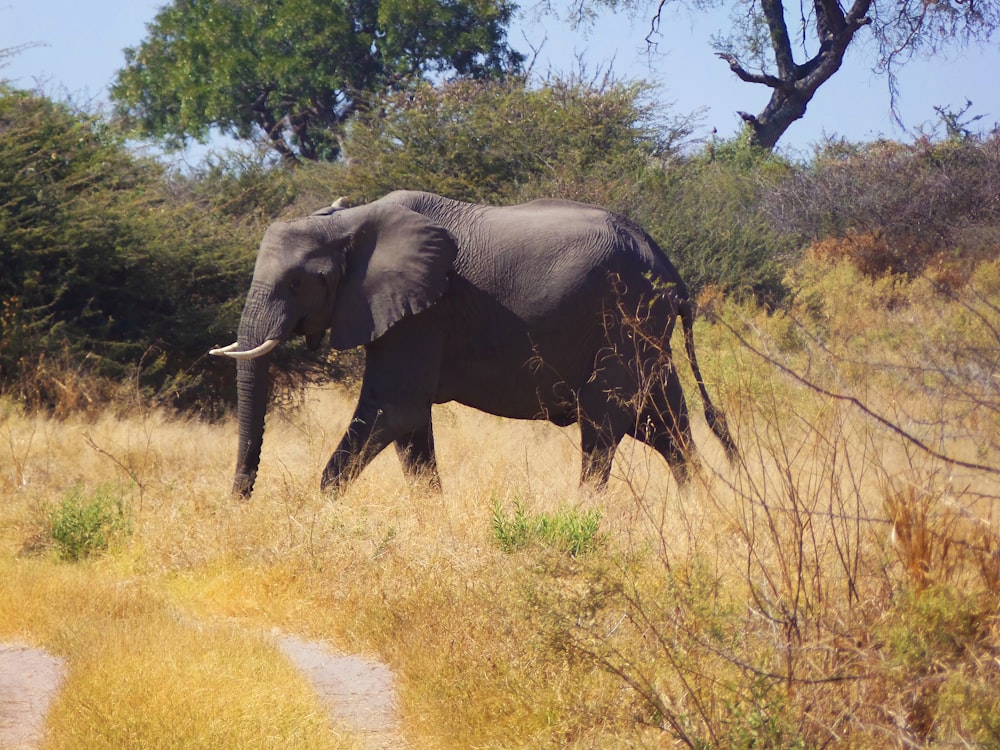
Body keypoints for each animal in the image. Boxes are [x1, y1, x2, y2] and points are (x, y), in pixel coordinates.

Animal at [211, 189, 740, 500]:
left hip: (623, 320)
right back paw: (701, 510)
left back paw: (586, 515)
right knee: (664, 426)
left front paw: (321, 508)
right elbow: (410, 428)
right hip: (644, 334)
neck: (349, 220)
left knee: (605, 425)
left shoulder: (423, 313)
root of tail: (672, 273)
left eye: (299, 283)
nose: (240, 505)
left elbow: (393, 409)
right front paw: (431, 517)